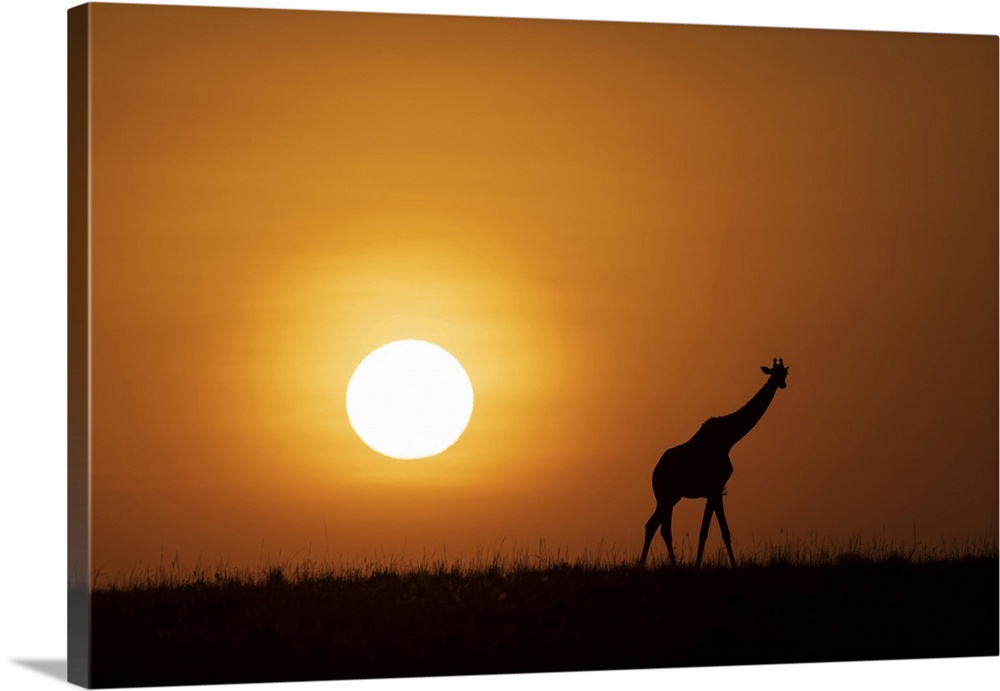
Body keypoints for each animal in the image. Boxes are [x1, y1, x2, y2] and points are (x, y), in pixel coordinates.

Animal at [638, 359, 789, 568]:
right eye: (774, 373)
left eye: (785, 373)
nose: (782, 384)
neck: (729, 439)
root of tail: (654, 472)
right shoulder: (716, 488)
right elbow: (720, 531)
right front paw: (730, 567)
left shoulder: (713, 491)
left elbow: (708, 531)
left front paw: (698, 565)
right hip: (667, 496)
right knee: (658, 526)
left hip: (670, 497)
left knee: (657, 526)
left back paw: (656, 566)